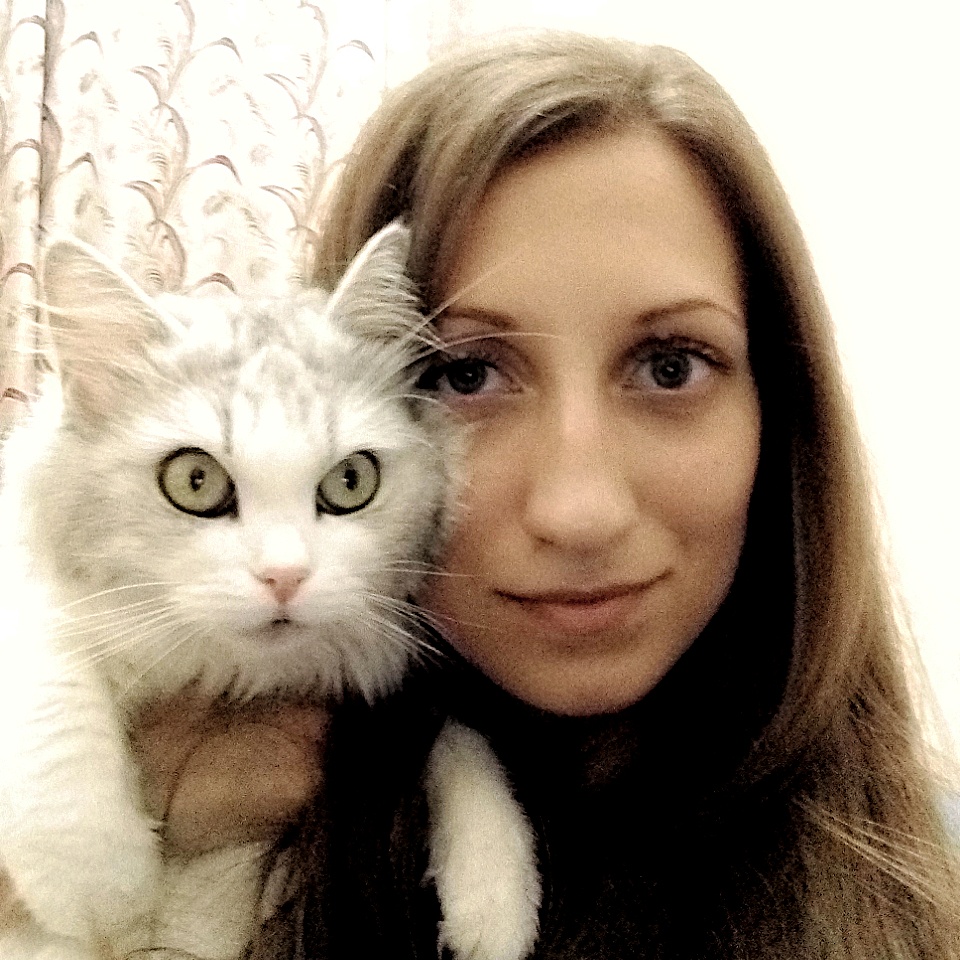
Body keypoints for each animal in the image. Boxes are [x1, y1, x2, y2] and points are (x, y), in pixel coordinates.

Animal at [0, 225, 540, 960]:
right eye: (195, 481)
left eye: (351, 482)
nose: (285, 576)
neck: (231, 675)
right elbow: (51, 681)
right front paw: (100, 885)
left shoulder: (391, 678)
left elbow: (461, 743)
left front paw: (497, 898)